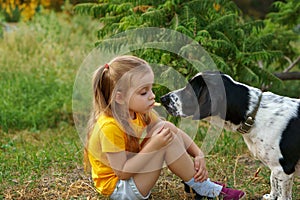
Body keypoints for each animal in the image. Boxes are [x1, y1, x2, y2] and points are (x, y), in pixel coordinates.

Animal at [162, 71, 300, 199]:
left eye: (190, 89)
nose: (163, 99)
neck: (253, 114)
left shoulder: (283, 169)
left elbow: (281, 192)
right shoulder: (277, 169)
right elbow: (273, 183)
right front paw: (270, 197)